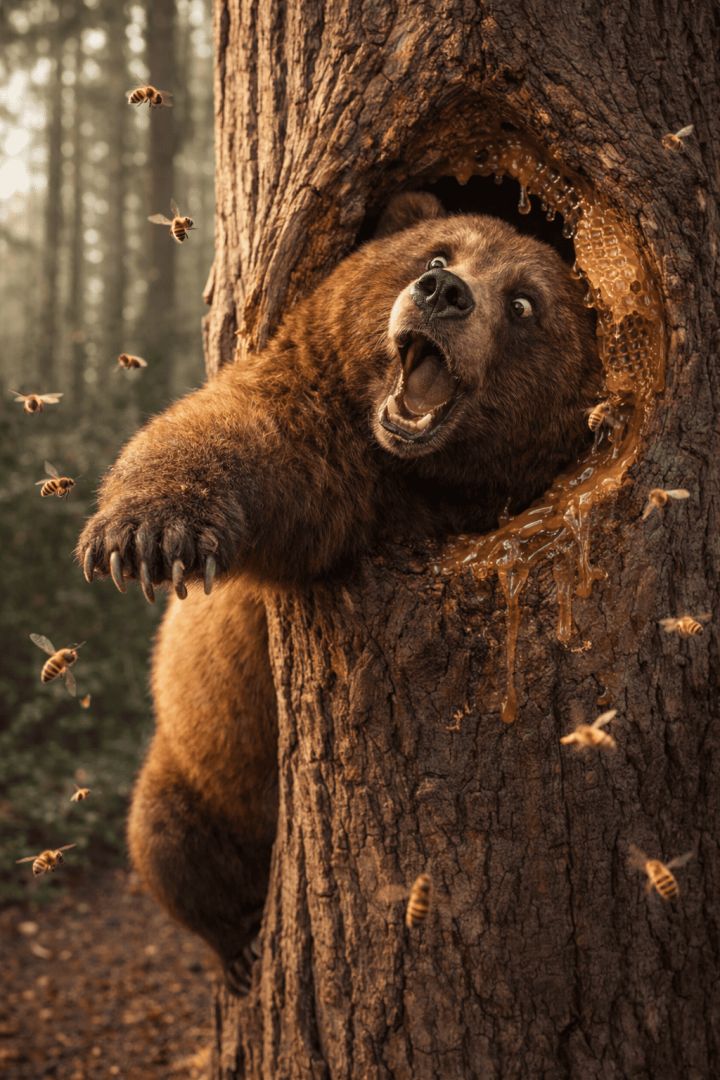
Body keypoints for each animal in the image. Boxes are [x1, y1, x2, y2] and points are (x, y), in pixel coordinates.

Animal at [77, 192, 600, 989]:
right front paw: (144, 534)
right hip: (193, 767)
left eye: (524, 303)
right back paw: (240, 942)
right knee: (167, 843)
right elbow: (226, 428)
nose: (443, 295)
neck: (415, 475)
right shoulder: (320, 438)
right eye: (439, 252)